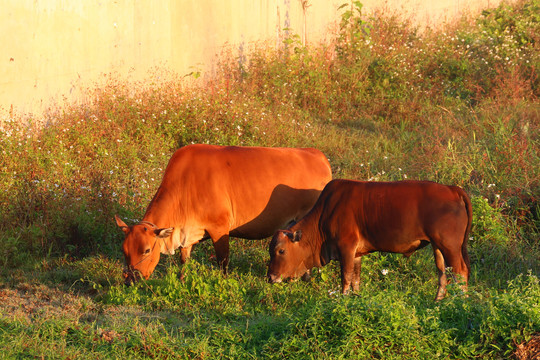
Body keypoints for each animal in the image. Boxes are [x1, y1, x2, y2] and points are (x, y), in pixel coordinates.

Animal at [116, 143, 332, 284]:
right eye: (124, 250)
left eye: (146, 250)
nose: (130, 280)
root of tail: (317, 155)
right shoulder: (188, 233)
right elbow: (184, 261)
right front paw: (182, 279)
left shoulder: (219, 228)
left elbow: (223, 261)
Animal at [268, 179, 470, 300]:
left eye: (281, 250)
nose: (271, 277)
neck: (324, 213)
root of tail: (453, 190)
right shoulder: (356, 254)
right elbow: (355, 279)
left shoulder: (346, 247)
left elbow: (346, 277)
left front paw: (343, 300)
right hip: (438, 247)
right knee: (442, 274)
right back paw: (437, 302)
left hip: (450, 246)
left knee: (460, 272)